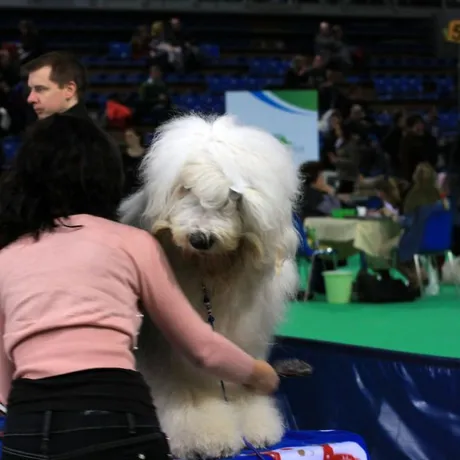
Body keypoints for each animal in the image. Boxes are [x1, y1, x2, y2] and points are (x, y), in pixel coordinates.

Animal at [119, 113, 298, 458]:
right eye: (185, 189)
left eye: (233, 197)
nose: (201, 238)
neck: (210, 277)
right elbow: (188, 388)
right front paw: (204, 432)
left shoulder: (245, 333)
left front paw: (255, 423)